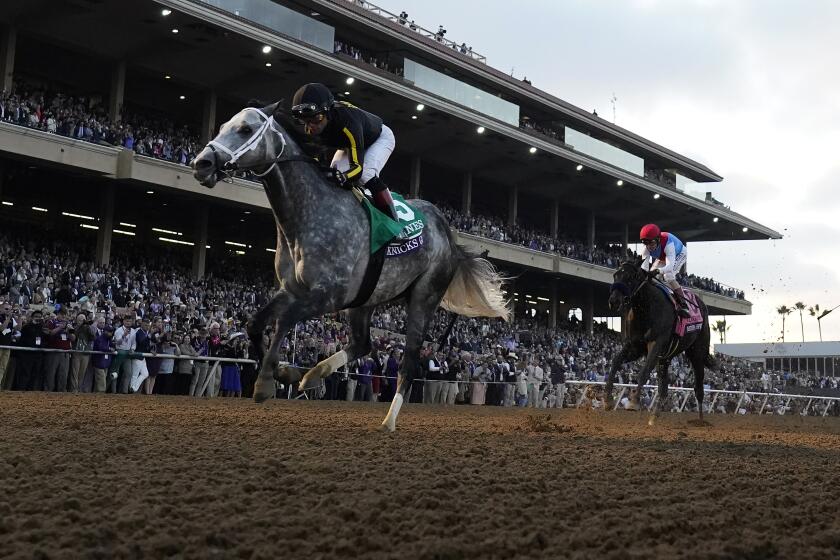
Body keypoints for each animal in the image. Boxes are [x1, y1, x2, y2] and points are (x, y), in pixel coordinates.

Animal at [194, 101, 508, 434]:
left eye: (245, 129)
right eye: (222, 126)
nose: (201, 164)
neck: (308, 216)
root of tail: (449, 235)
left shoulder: (330, 294)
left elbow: (285, 320)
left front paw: (267, 381)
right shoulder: (292, 289)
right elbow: (255, 323)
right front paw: (287, 373)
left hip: (424, 297)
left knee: (409, 362)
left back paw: (388, 420)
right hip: (366, 299)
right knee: (363, 344)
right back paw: (315, 374)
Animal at [608, 256, 712, 422]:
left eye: (630, 277)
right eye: (615, 275)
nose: (614, 301)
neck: (646, 309)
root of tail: (700, 303)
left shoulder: (656, 343)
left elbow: (644, 372)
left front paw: (634, 402)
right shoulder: (634, 345)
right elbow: (616, 362)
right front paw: (608, 399)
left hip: (697, 352)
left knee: (698, 387)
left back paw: (701, 420)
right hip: (666, 357)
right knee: (664, 389)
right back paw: (654, 416)